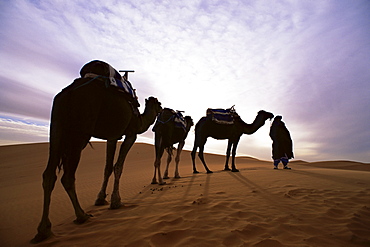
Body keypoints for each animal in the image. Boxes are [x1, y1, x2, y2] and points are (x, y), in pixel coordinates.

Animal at [32, 61, 163, 243]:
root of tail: (68, 92)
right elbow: (118, 166)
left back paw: (44, 230)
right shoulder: (130, 134)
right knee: (67, 176)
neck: (140, 119)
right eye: (159, 104)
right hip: (80, 131)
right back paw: (81, 215)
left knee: (49, 174)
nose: (163, 109)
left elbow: (107, 167)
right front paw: (116, 201)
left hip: (57, 126)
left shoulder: (112, 136)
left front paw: (101, 199)